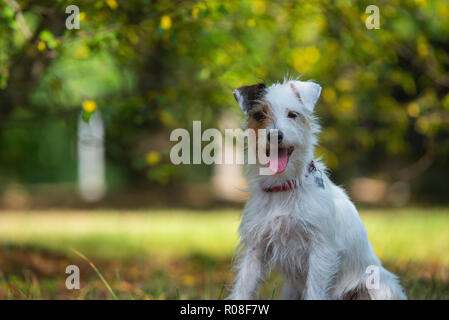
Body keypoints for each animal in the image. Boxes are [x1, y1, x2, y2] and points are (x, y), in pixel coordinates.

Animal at [228, 77, 406, 300]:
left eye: (292, 114)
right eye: (259, 115)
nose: (275, 135)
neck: (284, 187)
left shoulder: (321, 251)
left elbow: (315, 291)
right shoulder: (255, 248)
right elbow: (243, 288)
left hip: (379, 287)